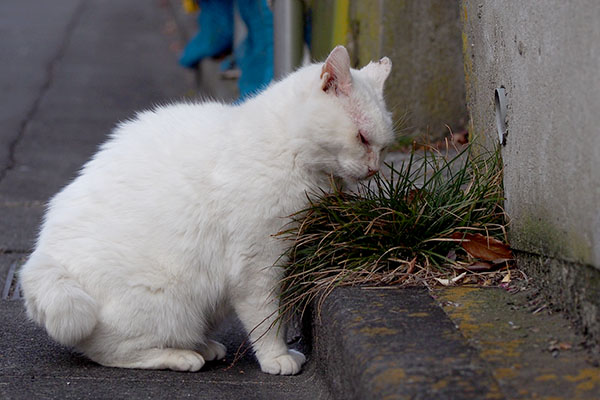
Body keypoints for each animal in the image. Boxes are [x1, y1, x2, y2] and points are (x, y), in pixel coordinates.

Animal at [18, 47, 394, 376]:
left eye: (382, 147)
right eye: (362, 138)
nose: (374, 170)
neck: (288, 148)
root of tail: (42, 260)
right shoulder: (257, 264)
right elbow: (267, 317)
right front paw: (277, 356)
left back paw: (203, 347)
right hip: (168, 302)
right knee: (110, 351)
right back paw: (182, 356)